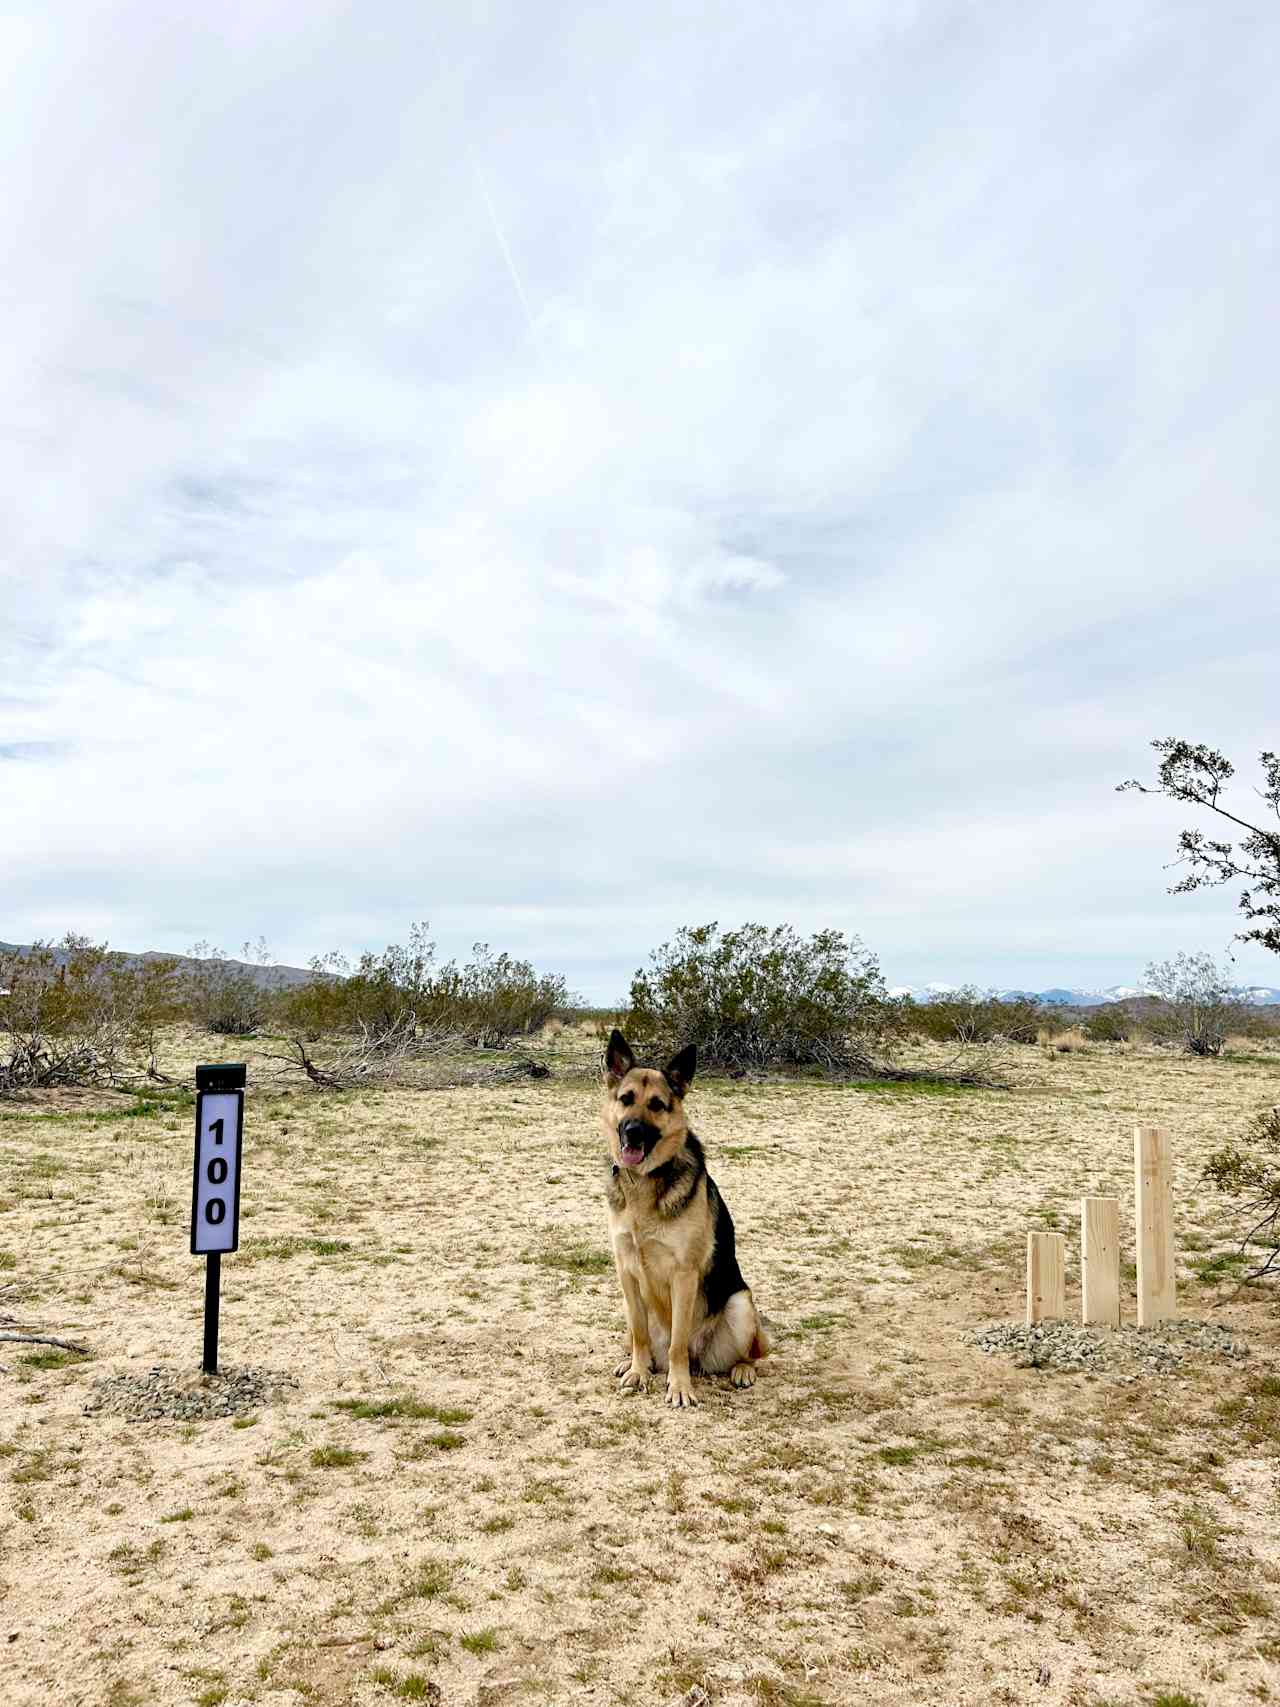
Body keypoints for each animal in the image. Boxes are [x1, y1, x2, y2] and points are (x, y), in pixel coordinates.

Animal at [604, 1031, 771, 1406]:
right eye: (626, 1099)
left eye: (657, 1105)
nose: (632, 1131)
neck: (645, 1181)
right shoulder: (626, 1271)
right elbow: (640, 1334)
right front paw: (638, 1371)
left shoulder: (684, 1274)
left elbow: (678, 1343)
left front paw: (679, 1387)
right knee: (641, 1339)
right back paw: (633, 1362)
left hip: (741, 1304)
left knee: (747, 1353)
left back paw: (742, 1370)